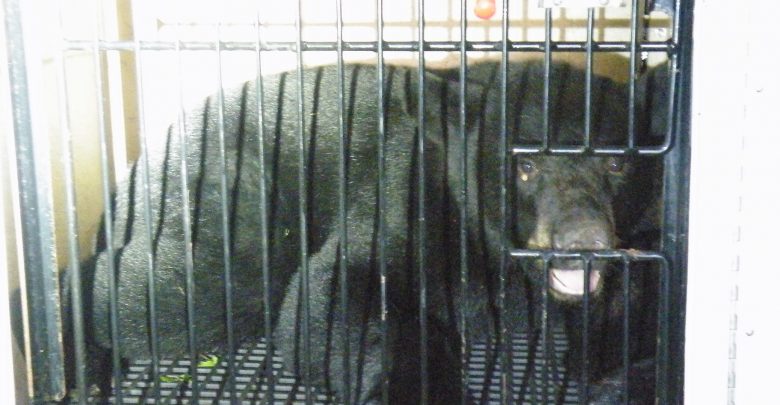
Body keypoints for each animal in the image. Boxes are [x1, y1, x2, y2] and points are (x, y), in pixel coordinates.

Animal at [61, 60, 664, 404]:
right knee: (179, 289)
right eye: (526, 165)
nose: (583, 243)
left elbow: (641, 305)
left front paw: (617, 370)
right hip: (232, 201)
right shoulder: (405, 190)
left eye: (617, 164)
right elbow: (342, 294)